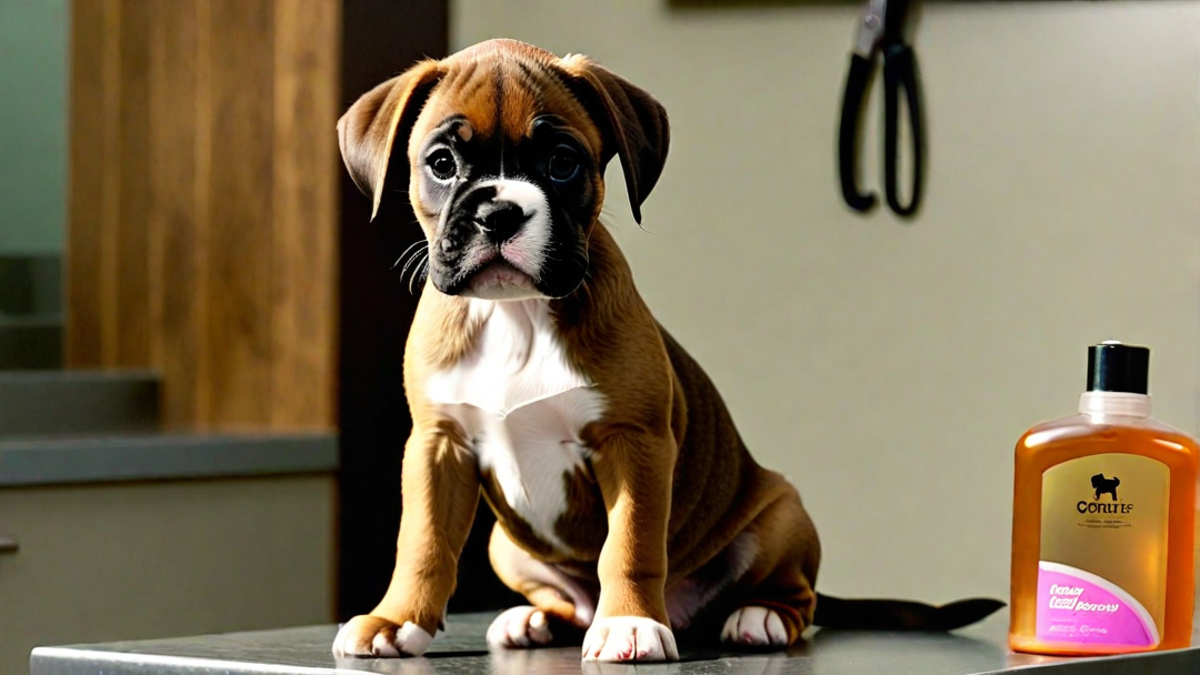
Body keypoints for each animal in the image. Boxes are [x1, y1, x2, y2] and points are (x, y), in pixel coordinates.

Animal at [331, 38, 1003, 662]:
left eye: (562, 162)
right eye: (441, 163)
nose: (499, 211)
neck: (516, 314)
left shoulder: (636, 443)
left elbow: (628, 544)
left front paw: (630, 622)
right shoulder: (437, 447)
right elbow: (423, 544)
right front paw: (395, 621)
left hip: (783, 513)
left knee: (798, 597)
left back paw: (757, 617)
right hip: (506, 543)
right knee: (568, 600)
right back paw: (536, 619)